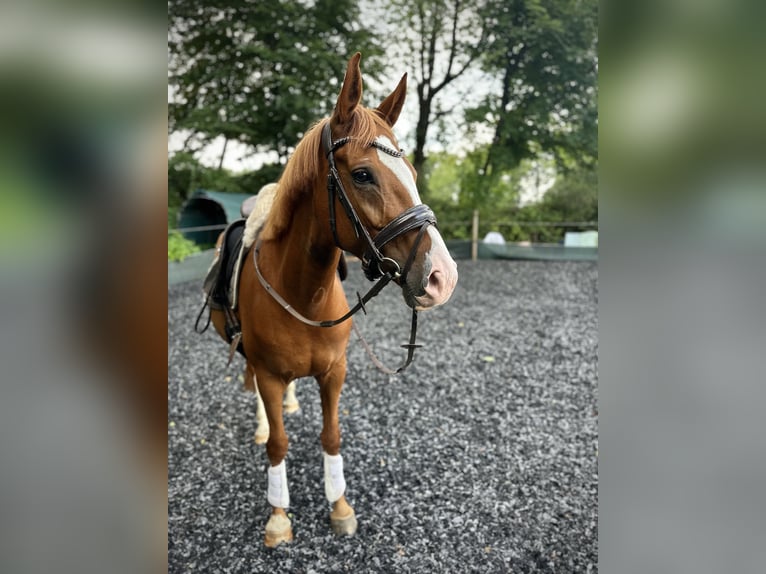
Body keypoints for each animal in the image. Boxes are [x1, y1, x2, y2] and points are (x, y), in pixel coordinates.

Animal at [208, 52, 458, 547]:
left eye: (412, 175)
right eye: (362, 175)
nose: (443, 276)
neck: (303, 296)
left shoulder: (333, 373)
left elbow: (332, 437)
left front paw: (339, 506)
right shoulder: (267, 373)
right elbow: (278, 444)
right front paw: (278, 516)